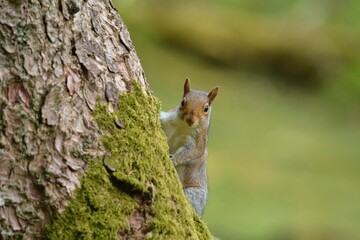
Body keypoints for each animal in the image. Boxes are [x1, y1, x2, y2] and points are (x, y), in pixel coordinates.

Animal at [161, 79, 219, 216]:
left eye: (206, 108)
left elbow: (191, 153)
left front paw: (174, 159)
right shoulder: (166, 119)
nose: (190, 119)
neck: (183, 126)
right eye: (183, 102)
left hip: (192, 193)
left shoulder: (197, 142)